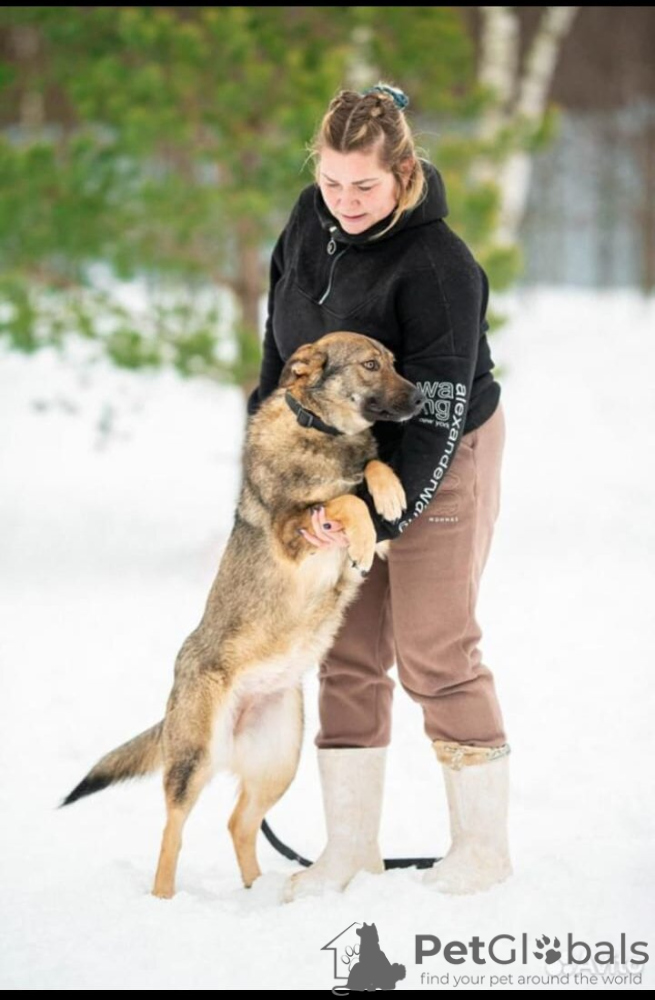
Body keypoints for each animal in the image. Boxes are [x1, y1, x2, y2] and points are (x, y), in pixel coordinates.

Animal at [61, 332, 426, 904]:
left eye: (392, 362)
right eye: (370, 365)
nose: (423, 399)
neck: (318, 429)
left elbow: (367, 473)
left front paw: (386, 491)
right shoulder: (295, 533)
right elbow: (344, 502)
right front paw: (365, 526)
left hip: (281, 760)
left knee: (239, 823)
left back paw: (261, 893)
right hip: (195, 761)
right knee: (173, 831)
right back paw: (165, 902)